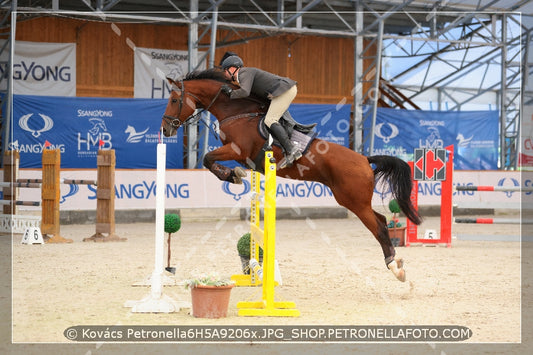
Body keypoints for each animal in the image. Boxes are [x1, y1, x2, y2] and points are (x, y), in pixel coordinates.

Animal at [160, 68, 422, 282]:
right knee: (381, 220)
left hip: (354, 201)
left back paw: (395, 267)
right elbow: (209, 160)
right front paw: (233, 175)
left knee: (379, 226)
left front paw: (232, 175)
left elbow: (207, 158)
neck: (236, 111)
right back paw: (395, 263)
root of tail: (365, 160)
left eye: (174, 100)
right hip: (354, 200)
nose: (166, 129)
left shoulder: (238, 149)